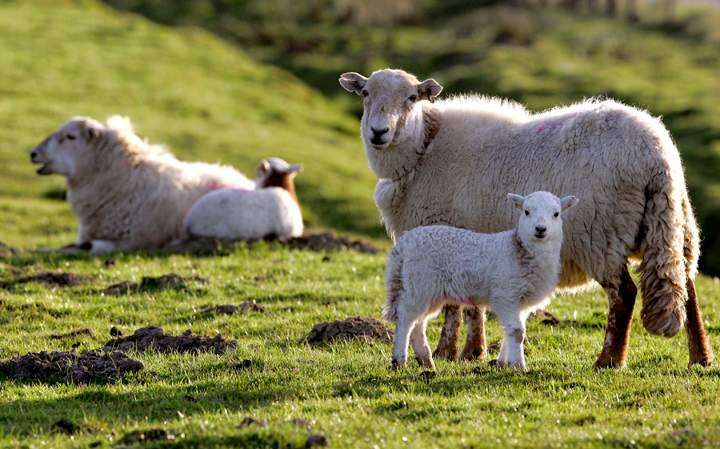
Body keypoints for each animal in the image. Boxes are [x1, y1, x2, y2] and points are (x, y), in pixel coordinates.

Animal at [385, 191, 578, 370]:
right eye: (526, 211)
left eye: (556, 214)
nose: (540, 229)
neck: (519, 249)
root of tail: (404, 242)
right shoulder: (506, 294)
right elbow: (517, 332)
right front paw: (519, 366)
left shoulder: (521, 302)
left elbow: (511, 331)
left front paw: (503, 363)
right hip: (420, 283)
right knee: (405, 318)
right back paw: (399, 361)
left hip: (430, 292)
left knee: (418, 323)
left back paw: (426, 361)